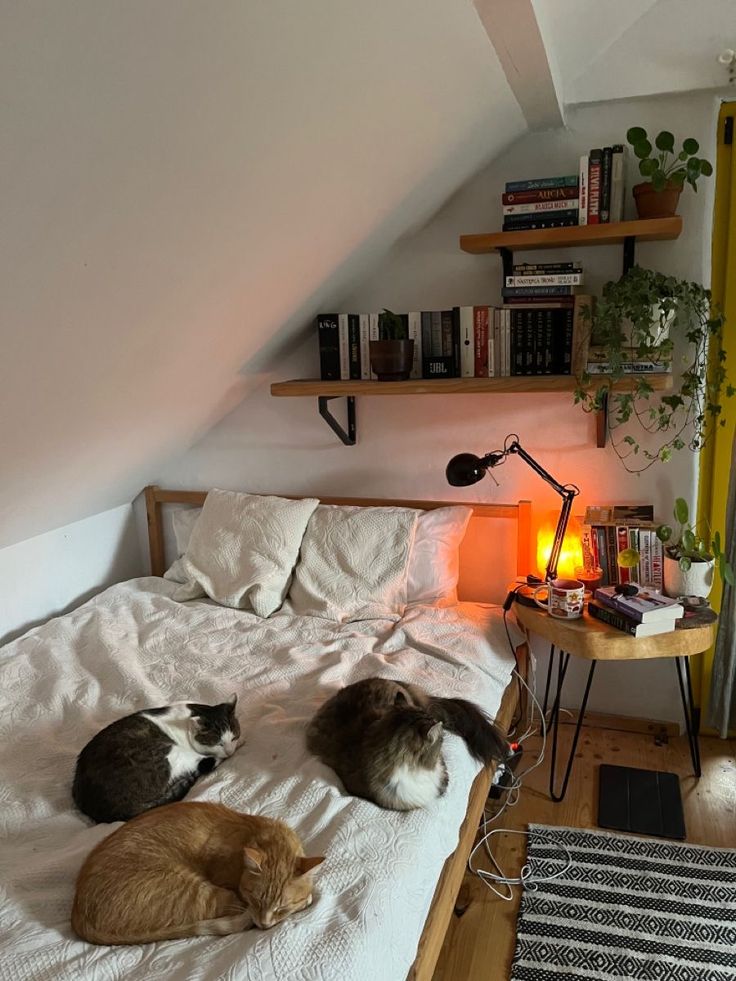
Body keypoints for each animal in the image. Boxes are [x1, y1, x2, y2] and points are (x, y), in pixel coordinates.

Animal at [70, 800, 324, 944]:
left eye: (282, 908)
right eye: (256, 899)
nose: (264, 925)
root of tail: (79, 917)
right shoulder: (238, 896)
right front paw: (307, 899)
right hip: (202, 893)